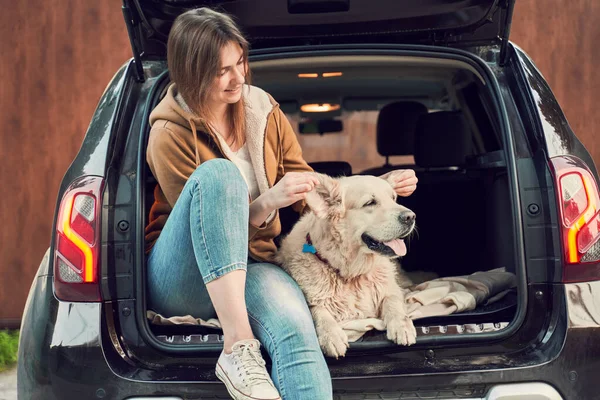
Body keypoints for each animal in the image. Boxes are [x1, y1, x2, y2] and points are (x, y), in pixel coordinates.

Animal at [276, 173, 418, 358]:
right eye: (370, 203)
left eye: (393, 198)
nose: (411, 217)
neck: (351, 274)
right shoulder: (312, 300)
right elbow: (318, 310)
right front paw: (331, 335)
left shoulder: (390, 288)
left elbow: (393, 301)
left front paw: (402, 325)